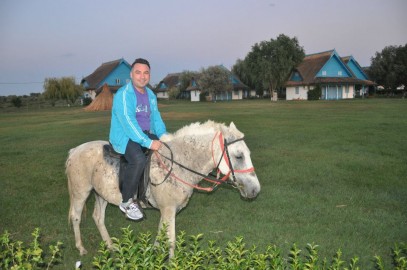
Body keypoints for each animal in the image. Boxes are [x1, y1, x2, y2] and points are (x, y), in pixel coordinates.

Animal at [65, 121, 260, 258]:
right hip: (80, 192)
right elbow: (171, 240)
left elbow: (161, 236)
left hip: (101, 194)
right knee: (76, 217)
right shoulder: (168, 209)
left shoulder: (166, 211)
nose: (255, 190)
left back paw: (110, 246)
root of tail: (75, 151)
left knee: (98, 217)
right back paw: (81, 248)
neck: (177, 163)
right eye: (239, 156)